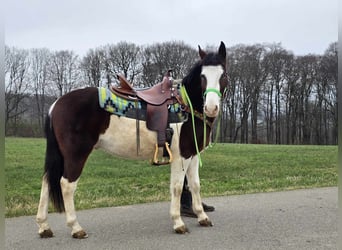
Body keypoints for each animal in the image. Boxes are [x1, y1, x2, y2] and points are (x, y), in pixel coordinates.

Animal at [36, 41, 228, 238]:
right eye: (203, 76)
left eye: (223, 75)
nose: (211, 107)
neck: (186, 105)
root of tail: (55, 105)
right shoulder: (180, 156)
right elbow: (177, 187)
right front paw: (178, 223)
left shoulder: (192, 154)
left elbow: (195, 185)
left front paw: (202, 217)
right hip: (76, 155)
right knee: (66, 185)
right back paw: (76, 228)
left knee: (47, 181)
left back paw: (44, 226)